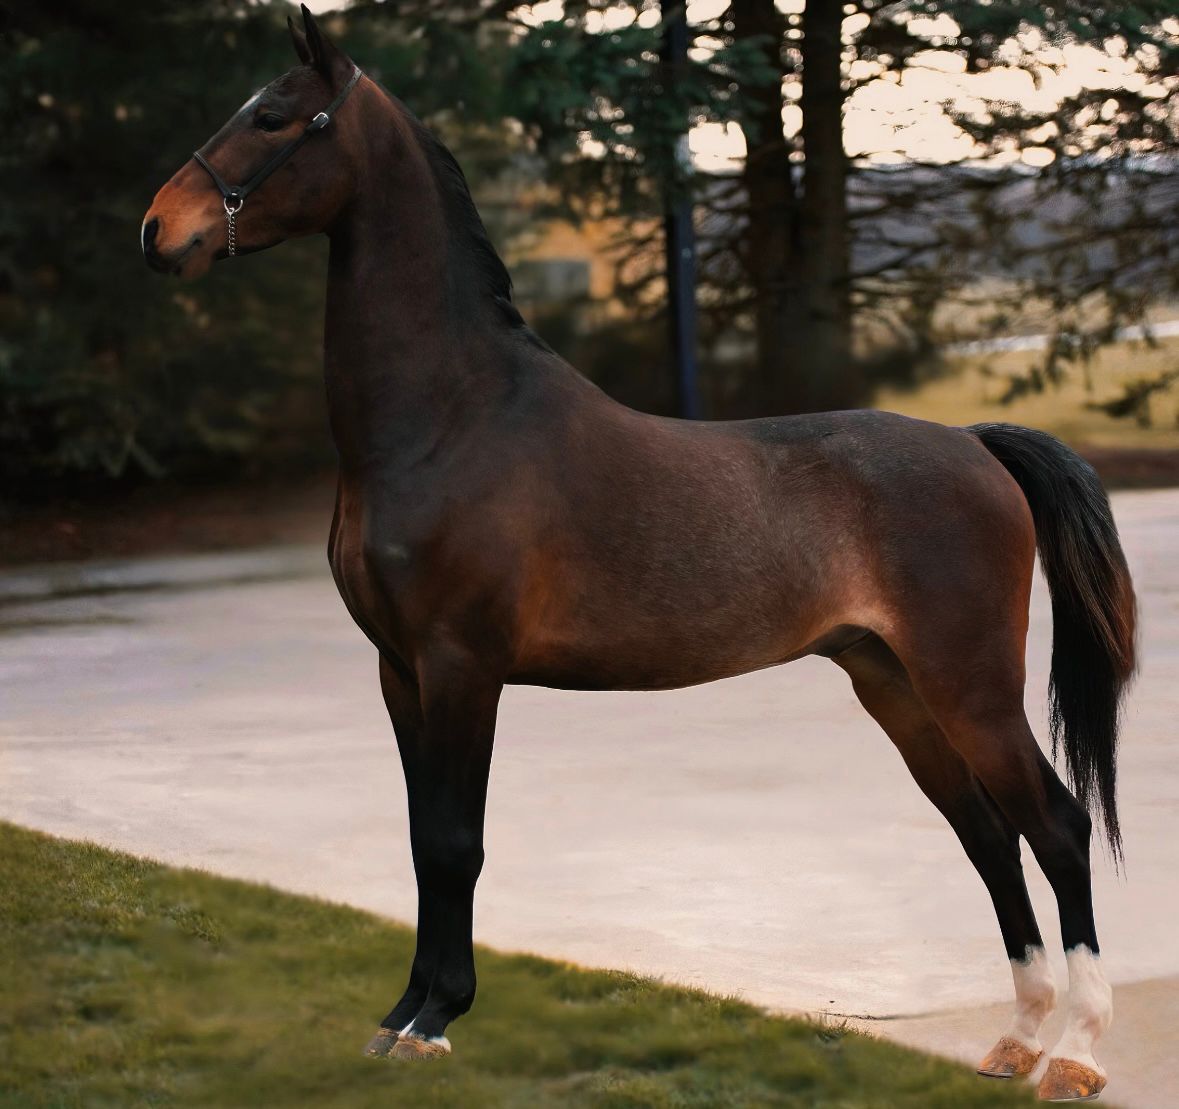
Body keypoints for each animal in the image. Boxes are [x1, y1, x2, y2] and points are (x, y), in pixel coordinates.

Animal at [142, 8, 1136, 1100]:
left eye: (275, 119)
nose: (159, 230)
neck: (450, 417)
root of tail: (974, 442)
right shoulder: (398, 669)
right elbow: (418, 839)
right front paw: (400, 1014)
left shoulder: (461, 665)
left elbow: (454, 841)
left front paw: (435, 1021)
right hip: (894, 682)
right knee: (988, 833)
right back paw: (1018, 1038)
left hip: (971, 685)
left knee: (1056, 826)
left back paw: (1077, 1052)